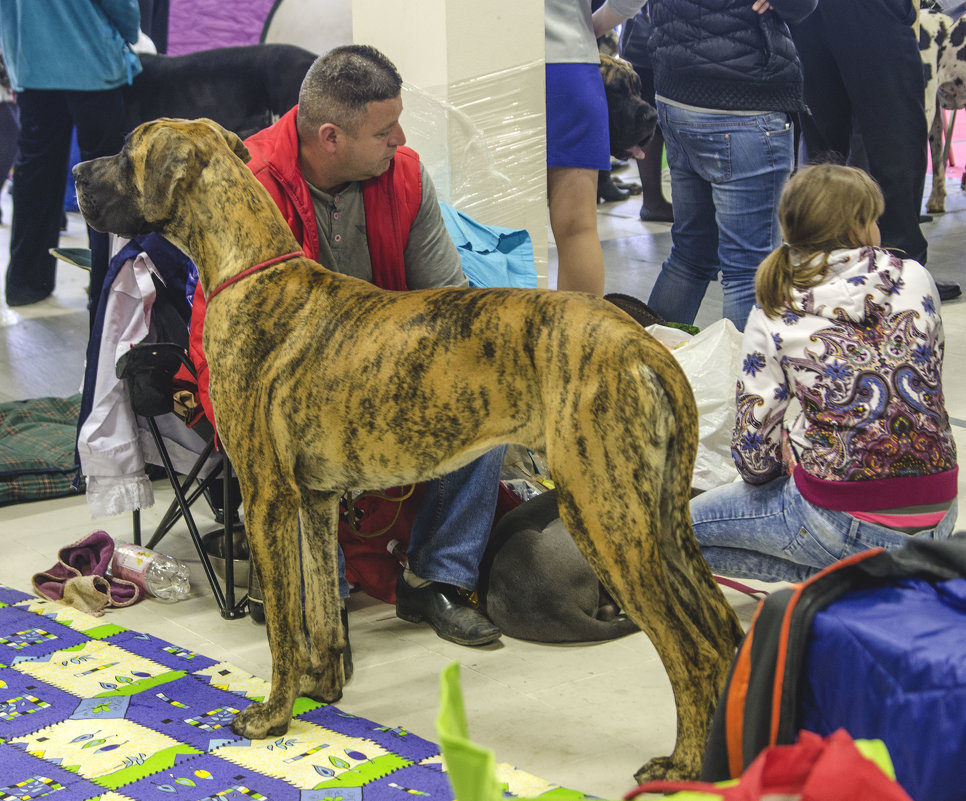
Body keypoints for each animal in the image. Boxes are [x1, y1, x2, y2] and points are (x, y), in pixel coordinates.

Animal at [72, 119, 744, 780]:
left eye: (126, 152)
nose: (76, 172)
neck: (250, 265)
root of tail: (640, 343)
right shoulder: (315, 502)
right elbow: (322, 607)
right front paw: (324, 688)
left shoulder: (265, 501)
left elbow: (285, 627)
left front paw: (273, 717)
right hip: (659, 521)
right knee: (722, 634)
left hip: (606, 518)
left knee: (691, 650)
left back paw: (683, 766)